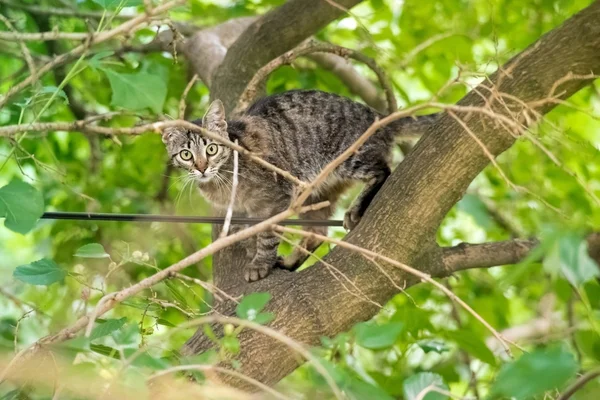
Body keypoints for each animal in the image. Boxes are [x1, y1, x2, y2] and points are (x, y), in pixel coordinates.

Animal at [163, 89, 436, 282]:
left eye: (211, 149)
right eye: (186, 155)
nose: (201, 167)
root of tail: (378, 117)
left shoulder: (276, 199)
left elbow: (267, 234)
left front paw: (260, 262)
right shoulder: (244, 207)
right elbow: (247, 227)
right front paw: (248, 242)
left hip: (349, 160)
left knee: (382, 172)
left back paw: (356, 209)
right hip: (314, 193)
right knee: (317, 232)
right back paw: (289, 262)